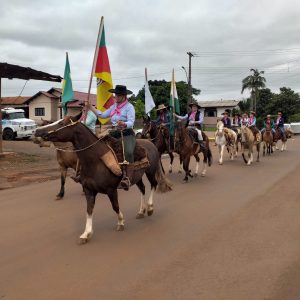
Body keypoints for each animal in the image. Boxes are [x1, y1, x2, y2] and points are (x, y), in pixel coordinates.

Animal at [34, 115, 172, 244]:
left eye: (62, 123)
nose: (37, 131)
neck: (95, 161)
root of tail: (151, 144)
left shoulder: (111, 190)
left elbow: (115, 206)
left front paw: (121, 222)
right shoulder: (89, 191)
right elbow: (89, 210)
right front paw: (86, 234)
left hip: (150, 172)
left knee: (153, 184)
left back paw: (150, 208)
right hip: (137, 177)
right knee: (142, 189)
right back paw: (141, 211)